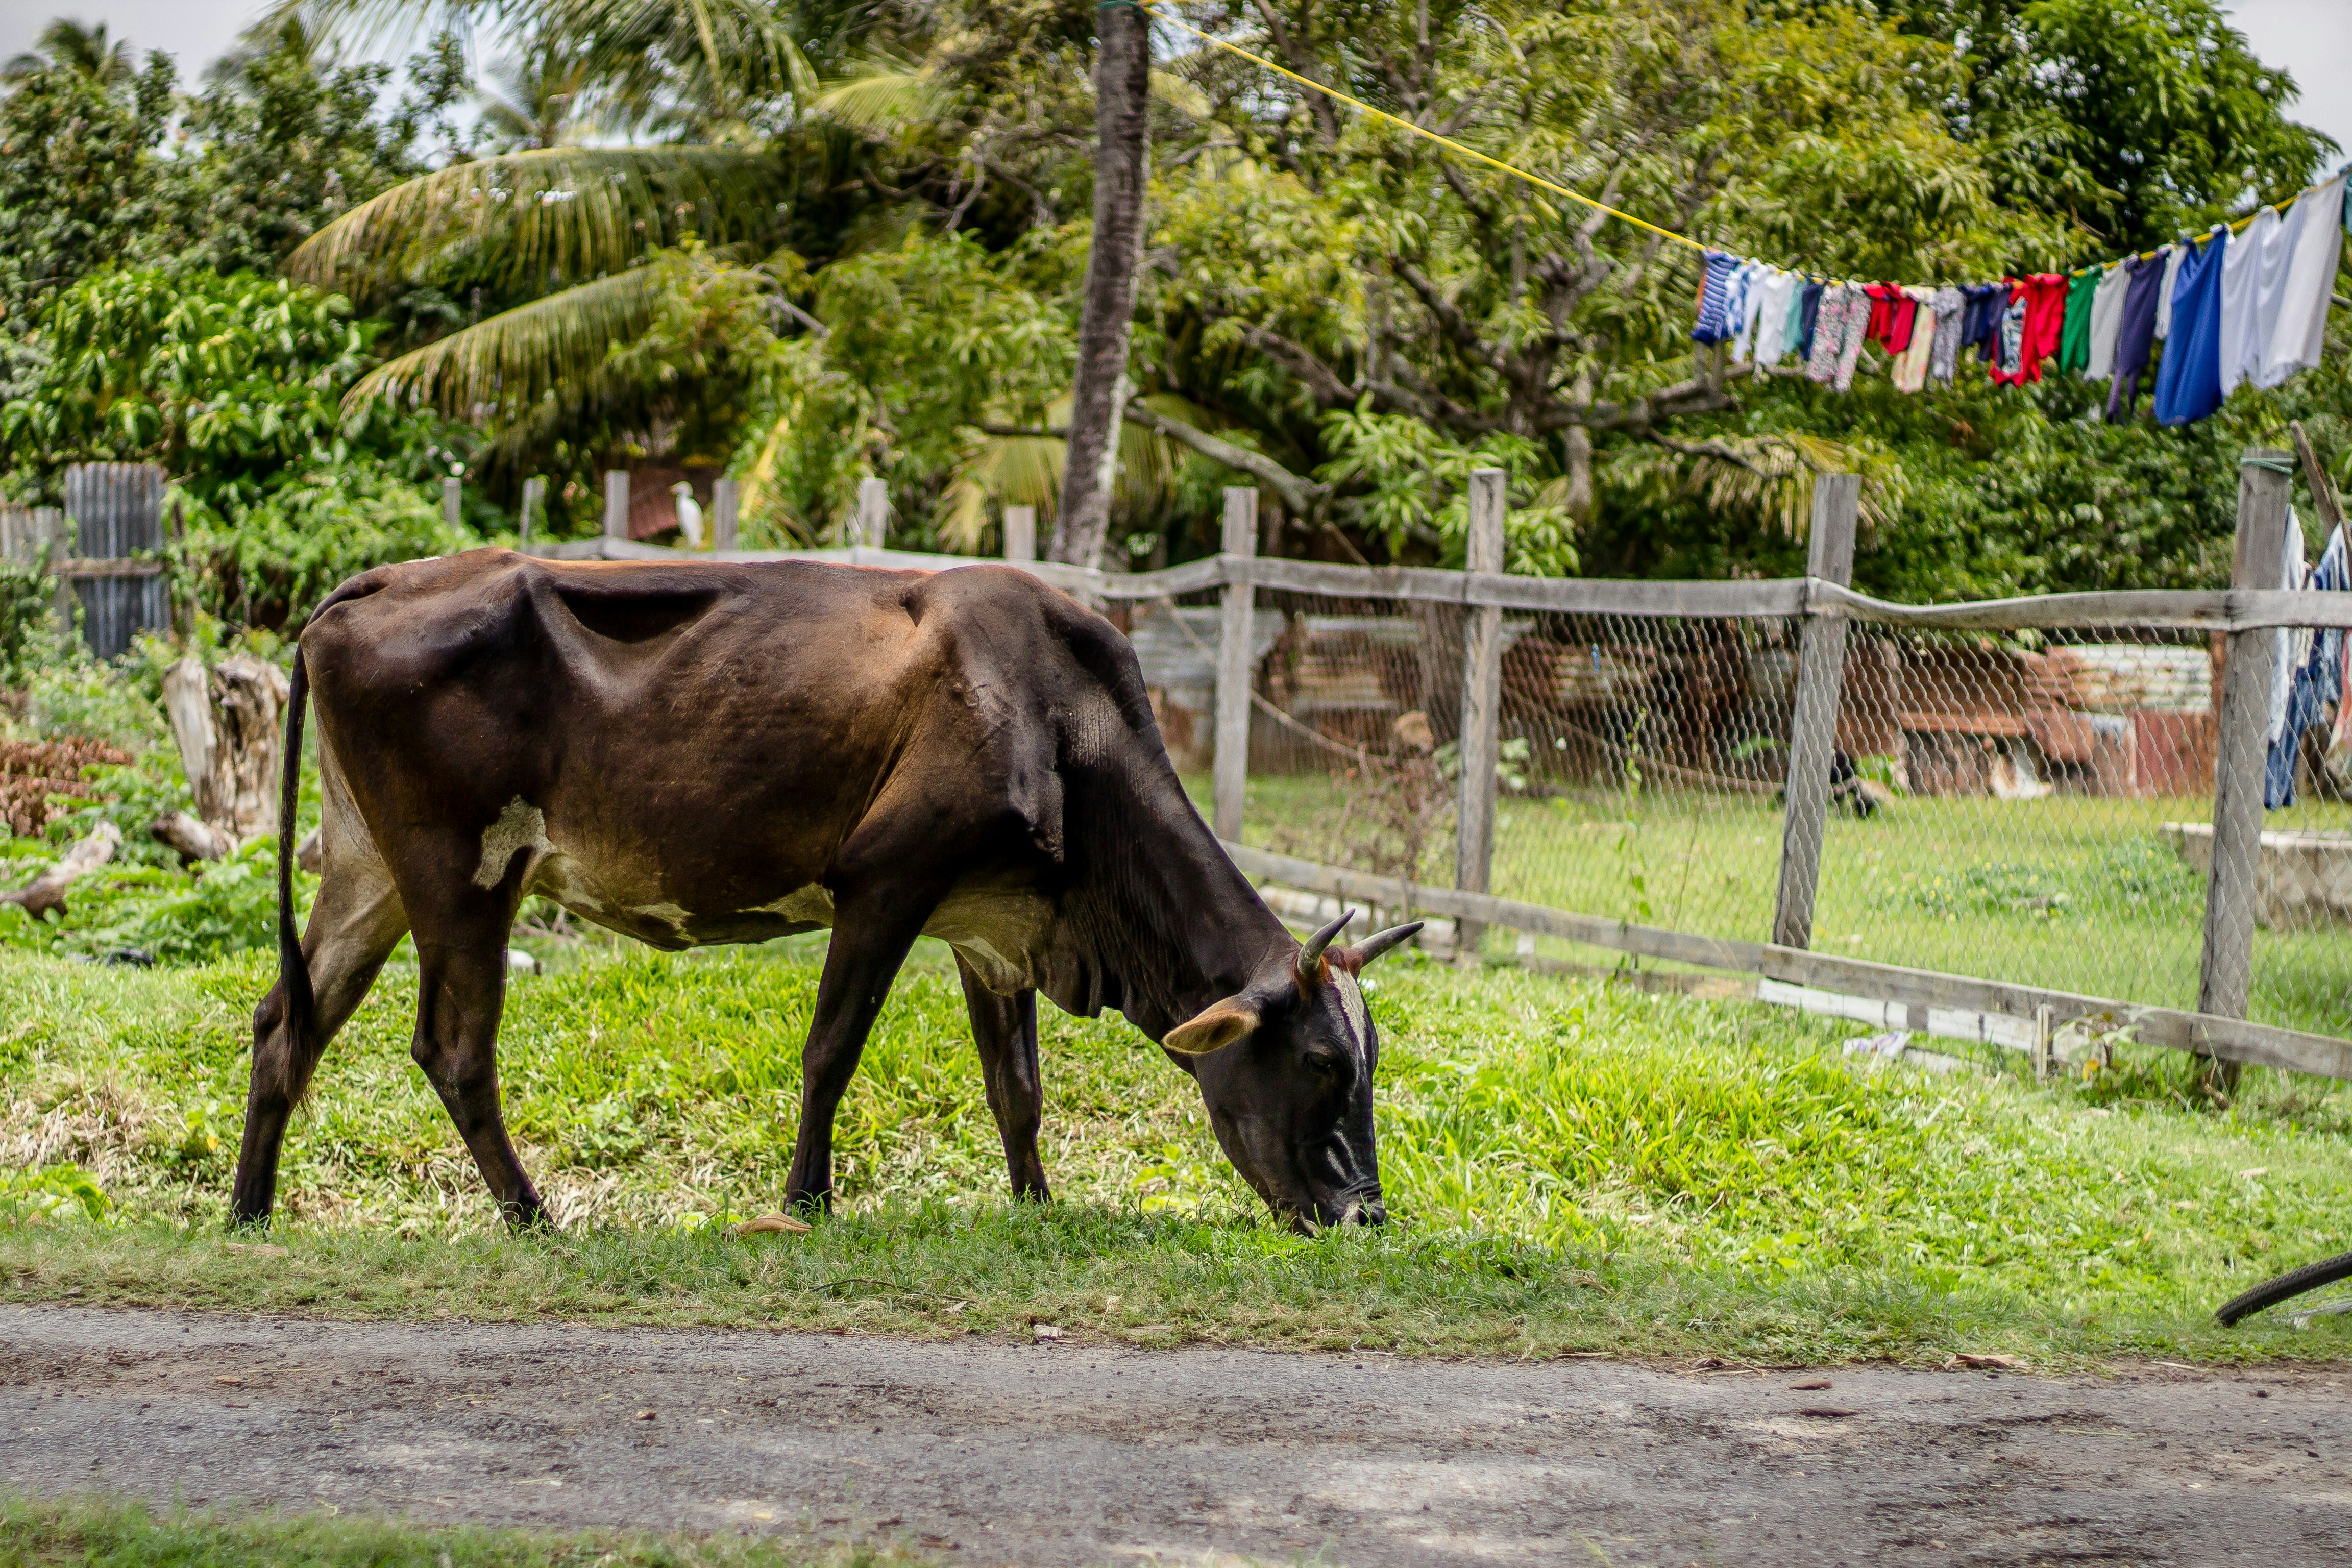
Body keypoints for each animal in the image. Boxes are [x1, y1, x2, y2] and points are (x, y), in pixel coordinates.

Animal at [230, 550, 1421, 1233]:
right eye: (1321, 1063)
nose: (1363, 1215)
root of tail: (376, 584)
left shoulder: (993, 931)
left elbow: (1017, 1088)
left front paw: (1036, 1206)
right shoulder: (887, 881)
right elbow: (830, 1052)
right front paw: (806, 1203)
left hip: (369, 871)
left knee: (289, 1019)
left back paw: (250, 1211)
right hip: (463, 873)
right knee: (452, 1049)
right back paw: (534, 1219)